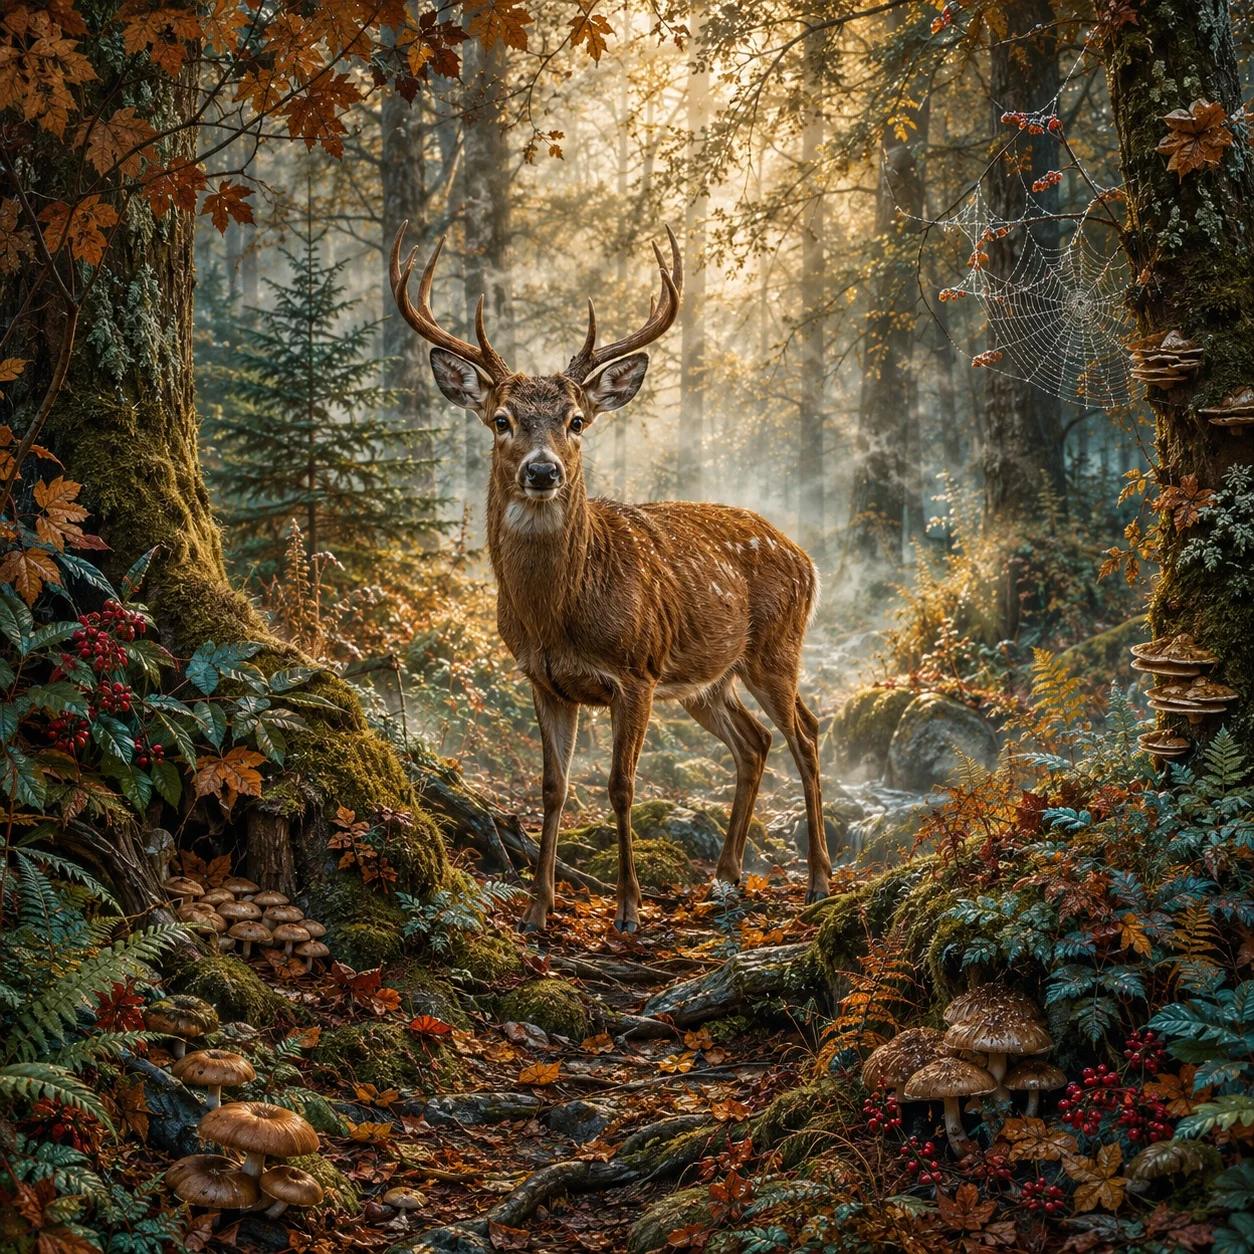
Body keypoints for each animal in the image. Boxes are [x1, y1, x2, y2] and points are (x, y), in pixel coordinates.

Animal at [390, 222, 832, 933]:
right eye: (501, 420)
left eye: (576, 421)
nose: (543, 471)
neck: (558, 613)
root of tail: (807, 557)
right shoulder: (544, 678)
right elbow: (554, 787)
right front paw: (538, 908)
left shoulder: (637, 671)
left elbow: (622, 787)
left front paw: (627, 909)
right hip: (706, 680)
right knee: (756, 741)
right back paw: (725, 878)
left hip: (773, 647)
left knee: (807, 734)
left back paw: (818, 880)